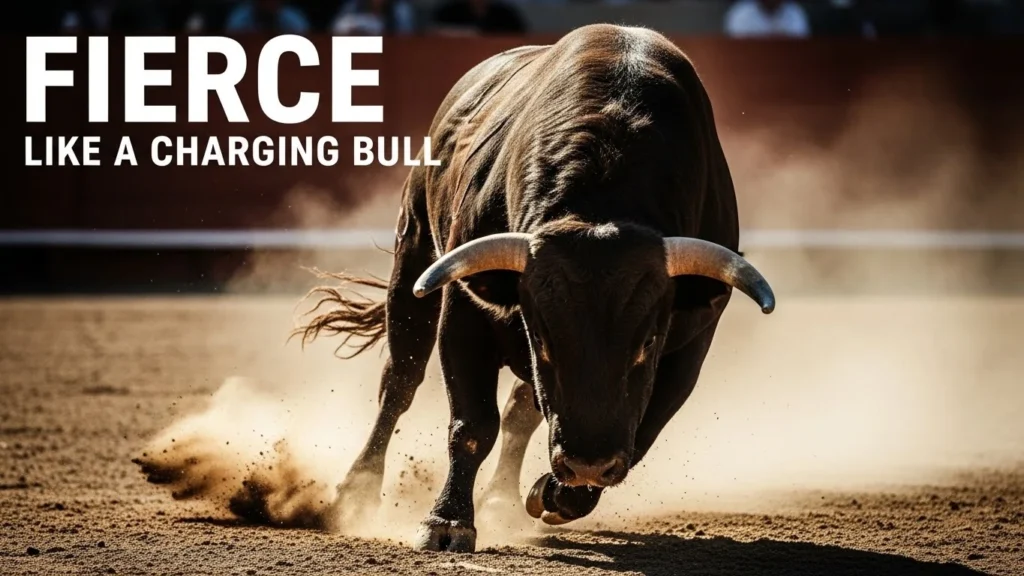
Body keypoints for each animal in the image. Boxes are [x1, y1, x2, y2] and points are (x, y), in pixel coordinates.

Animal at [296, 23, 775, 553]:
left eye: (647, 344)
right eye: (542, 340)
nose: (587, 462)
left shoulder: (690, 346)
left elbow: (642, 430)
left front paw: (555, 494)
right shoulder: (464, 313)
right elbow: (472, 425)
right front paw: (447, 522)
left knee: (520, 411)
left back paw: (503, 499)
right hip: (413, 256)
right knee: (399, 382)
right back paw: (357, 490)